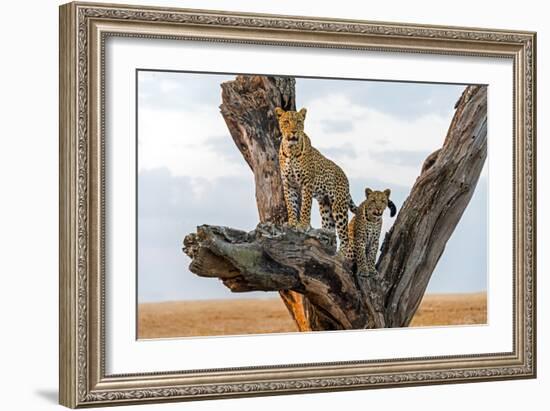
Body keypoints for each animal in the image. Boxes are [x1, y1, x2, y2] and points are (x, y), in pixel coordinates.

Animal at [274, 106, 358, 254]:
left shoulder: (306, 183)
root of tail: (345, 176)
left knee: (345, 235)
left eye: (299, 122)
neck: (291, 150)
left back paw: (341, 254)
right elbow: (291, 204)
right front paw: (292, 223)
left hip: (339, 207)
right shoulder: (288, 184)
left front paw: (303, 225)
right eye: (286, 122)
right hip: (325, 207)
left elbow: (305, 207)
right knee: (330, 230)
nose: (294, 132)